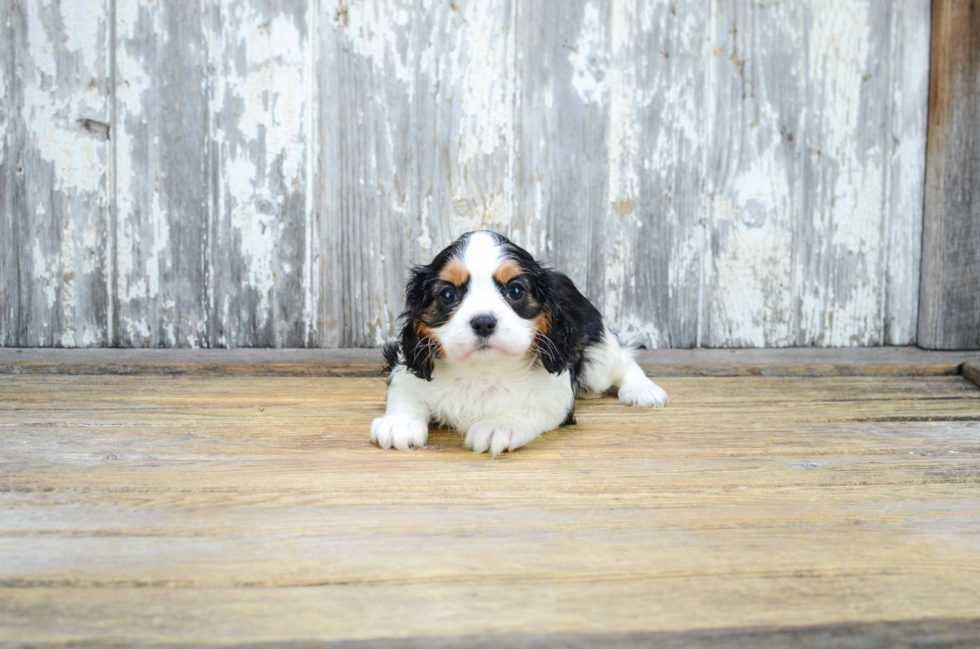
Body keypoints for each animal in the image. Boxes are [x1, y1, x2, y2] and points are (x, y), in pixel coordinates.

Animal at [372, 232, 668, 456]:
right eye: (447, 295)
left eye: (515, 291)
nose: (483, 322)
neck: (482, 371)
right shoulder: (407, 367)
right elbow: (406, 395)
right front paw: (399, 423)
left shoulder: (555, 397)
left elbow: (529, 408)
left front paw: (499, 425)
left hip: (599, 360)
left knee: (623, 361)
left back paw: (642, 390)